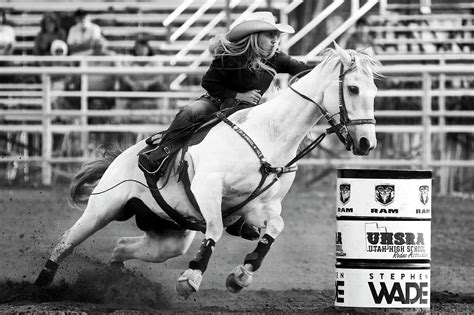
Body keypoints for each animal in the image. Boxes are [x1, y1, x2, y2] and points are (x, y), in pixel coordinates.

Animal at [34, 43, 382, 298]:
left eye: (374, 92)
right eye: (352, 88)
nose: (367, 143)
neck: (269, 134)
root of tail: (123, 156)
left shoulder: (262, 206)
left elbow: (276, 227)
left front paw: (242, 274)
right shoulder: (208, 189)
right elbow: (214, 229)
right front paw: (191, 278)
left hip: (169, 238)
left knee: (121, 246)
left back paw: (114, 281)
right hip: (104, 208)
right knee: (67, 240)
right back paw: (40, 284)